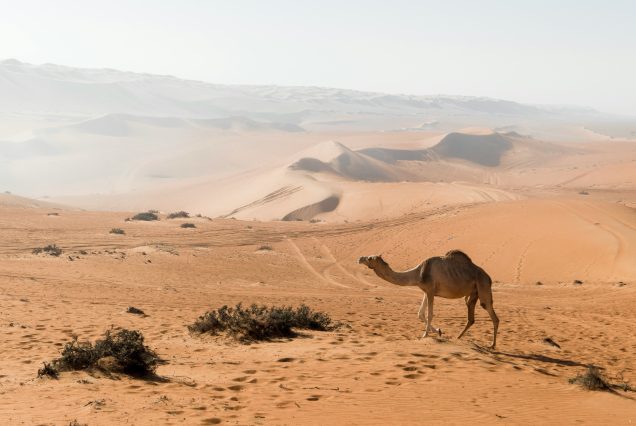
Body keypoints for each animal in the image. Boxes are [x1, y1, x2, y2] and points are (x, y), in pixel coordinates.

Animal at [358, 251, 502, 348]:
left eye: (370, 258)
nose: (359, 258)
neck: (418, 273)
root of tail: (489, 277)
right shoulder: (426, 291)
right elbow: (420, 313)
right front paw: (439, 331)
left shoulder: (431, 290)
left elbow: (429, 314)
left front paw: (425, 335)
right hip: (473, 293)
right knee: (471, 317)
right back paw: (458, 337)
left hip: (483, 286)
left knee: (492, 314)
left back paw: (492, 345)